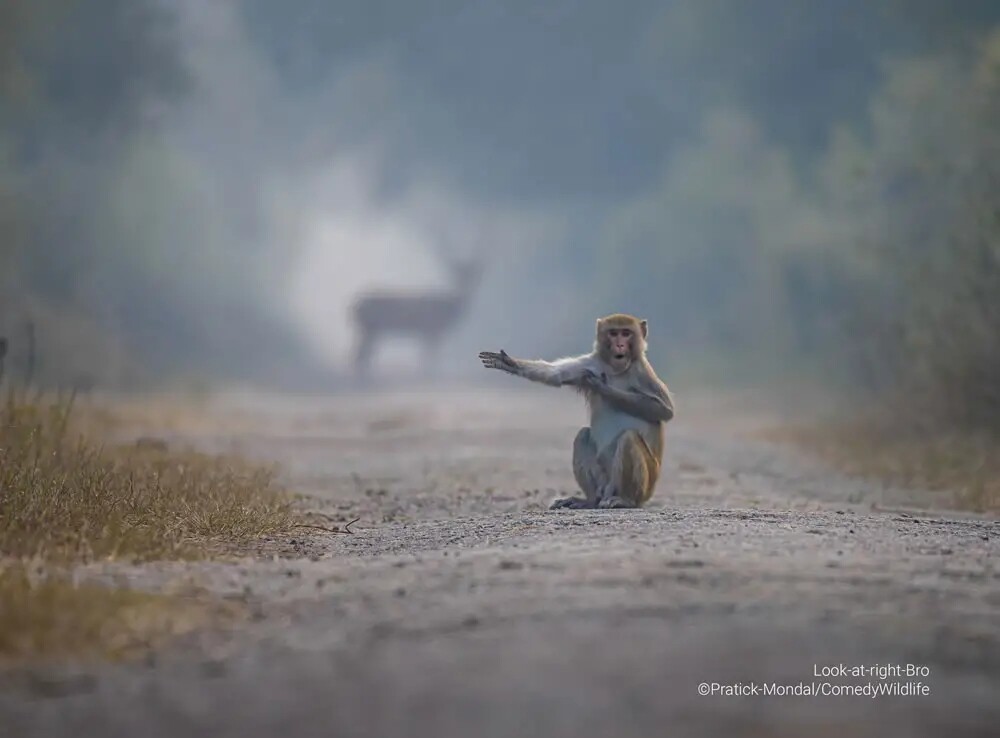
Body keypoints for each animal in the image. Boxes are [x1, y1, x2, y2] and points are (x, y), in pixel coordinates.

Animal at [352, 252, 484, 374]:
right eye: (459, 273)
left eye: (471, 273)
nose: (468, 287)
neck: (448, 308)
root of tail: (354, 306)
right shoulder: (431, 330)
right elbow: (429, 356)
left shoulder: (428, 332)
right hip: (370, 328)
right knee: (360, 355)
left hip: (369, 330)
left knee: (362, 354)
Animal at [480, 310, 676, 506]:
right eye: (613, 333)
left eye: (626, 333)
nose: (620, 345)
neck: (616, 369)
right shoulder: (590, 363)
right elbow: (556, 375)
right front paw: (509, 363)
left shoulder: (642, 371)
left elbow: (664, 410)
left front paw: (601, 387)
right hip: (604, 481)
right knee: (582, 435)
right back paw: (590, 501)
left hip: (646, 486)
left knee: (628, 438)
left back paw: (625, 500)